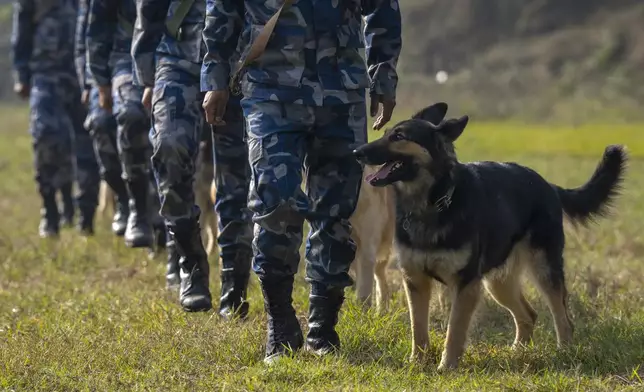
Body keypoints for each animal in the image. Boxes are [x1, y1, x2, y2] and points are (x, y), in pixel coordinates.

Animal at [350, 103, 628, 370]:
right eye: (385, 133)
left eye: (398, 136)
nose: (356, 153)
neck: (431, 204)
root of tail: (547, 184)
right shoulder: (416, 281)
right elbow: (417, 328)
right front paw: (417, 361)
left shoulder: (465, 285)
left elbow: (455, 329)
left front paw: (447, 366)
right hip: (498, 283)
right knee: (529, 315)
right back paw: (518, 351)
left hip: (543, 271)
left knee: (563, 317)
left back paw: (565, 352)